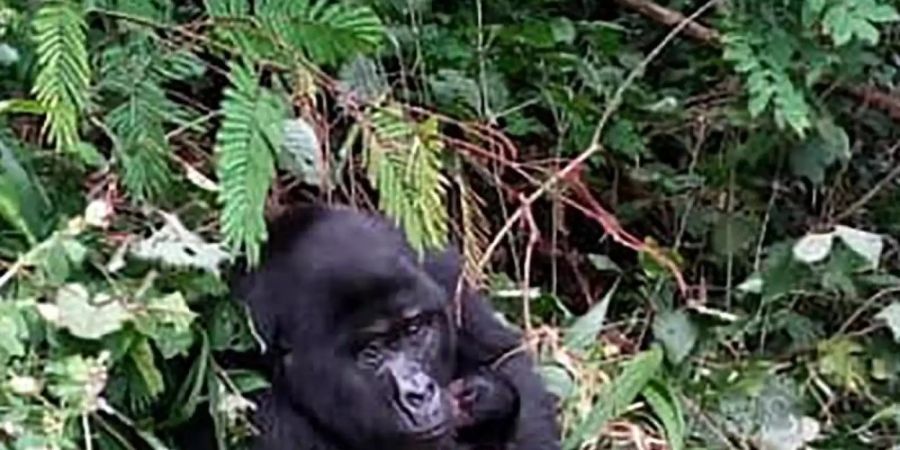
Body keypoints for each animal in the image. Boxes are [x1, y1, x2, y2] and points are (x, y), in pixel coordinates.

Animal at [232, 205, 560, 450]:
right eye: (370, 352)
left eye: (414, 331)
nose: (420, 394)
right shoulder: (260, 406)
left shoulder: (440, 268)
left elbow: (506, 359)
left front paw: (488, 397)